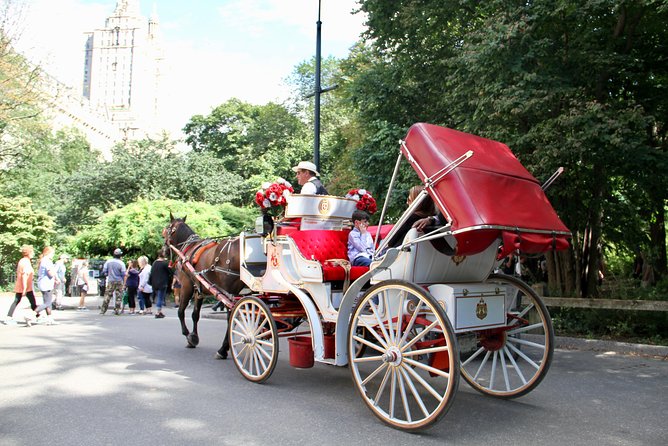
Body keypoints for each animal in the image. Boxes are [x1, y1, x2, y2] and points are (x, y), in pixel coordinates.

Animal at [163, 213, 243, 358]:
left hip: (230, 293)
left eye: (167, 229)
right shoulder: (199, 290)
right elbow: (195, 315)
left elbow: (180, 311)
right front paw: (194, 337)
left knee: (231, 317)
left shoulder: (186, 286)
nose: (163, 250)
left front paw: (188, 336)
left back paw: (223, 349)